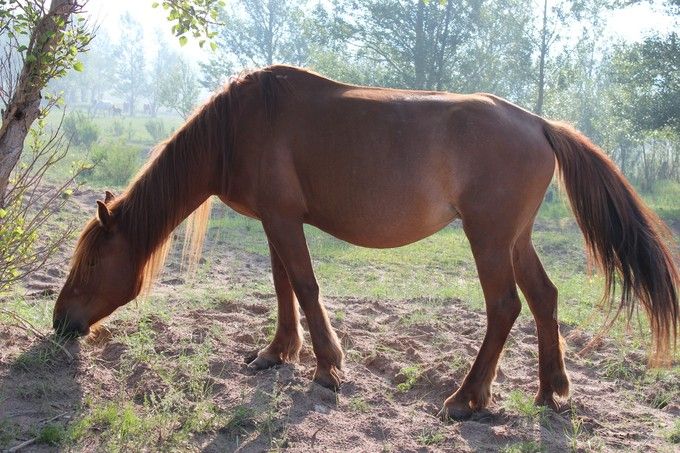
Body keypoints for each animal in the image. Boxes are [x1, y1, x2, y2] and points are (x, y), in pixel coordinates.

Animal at [50, 65, 676, 418]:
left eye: (90, 264)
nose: (60, 322)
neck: (240, 125)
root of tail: (541, 124)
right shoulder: (277, 221)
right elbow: (282, 286)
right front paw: (278, 353)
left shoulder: (283, 220)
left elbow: (304, 285)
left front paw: (328, 367)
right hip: (515, 239)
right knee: (544, 300)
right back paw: (550, 392)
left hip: (489, 239)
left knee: (505, 307)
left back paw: (467, 399)